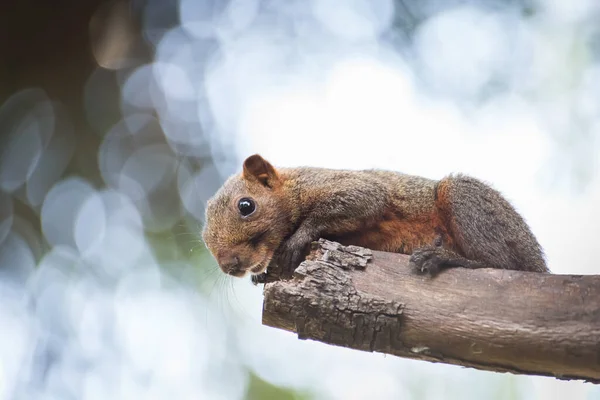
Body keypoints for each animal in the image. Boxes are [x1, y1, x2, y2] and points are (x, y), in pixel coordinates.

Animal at [202, 153, 548, 282]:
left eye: (246, 206)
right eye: (205, 240)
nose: (229, 265)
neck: (293, 187)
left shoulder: (348, 188)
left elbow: (365, 200)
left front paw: (298, 237)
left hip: (465, 201)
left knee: (501, 264)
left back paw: (443, 257)